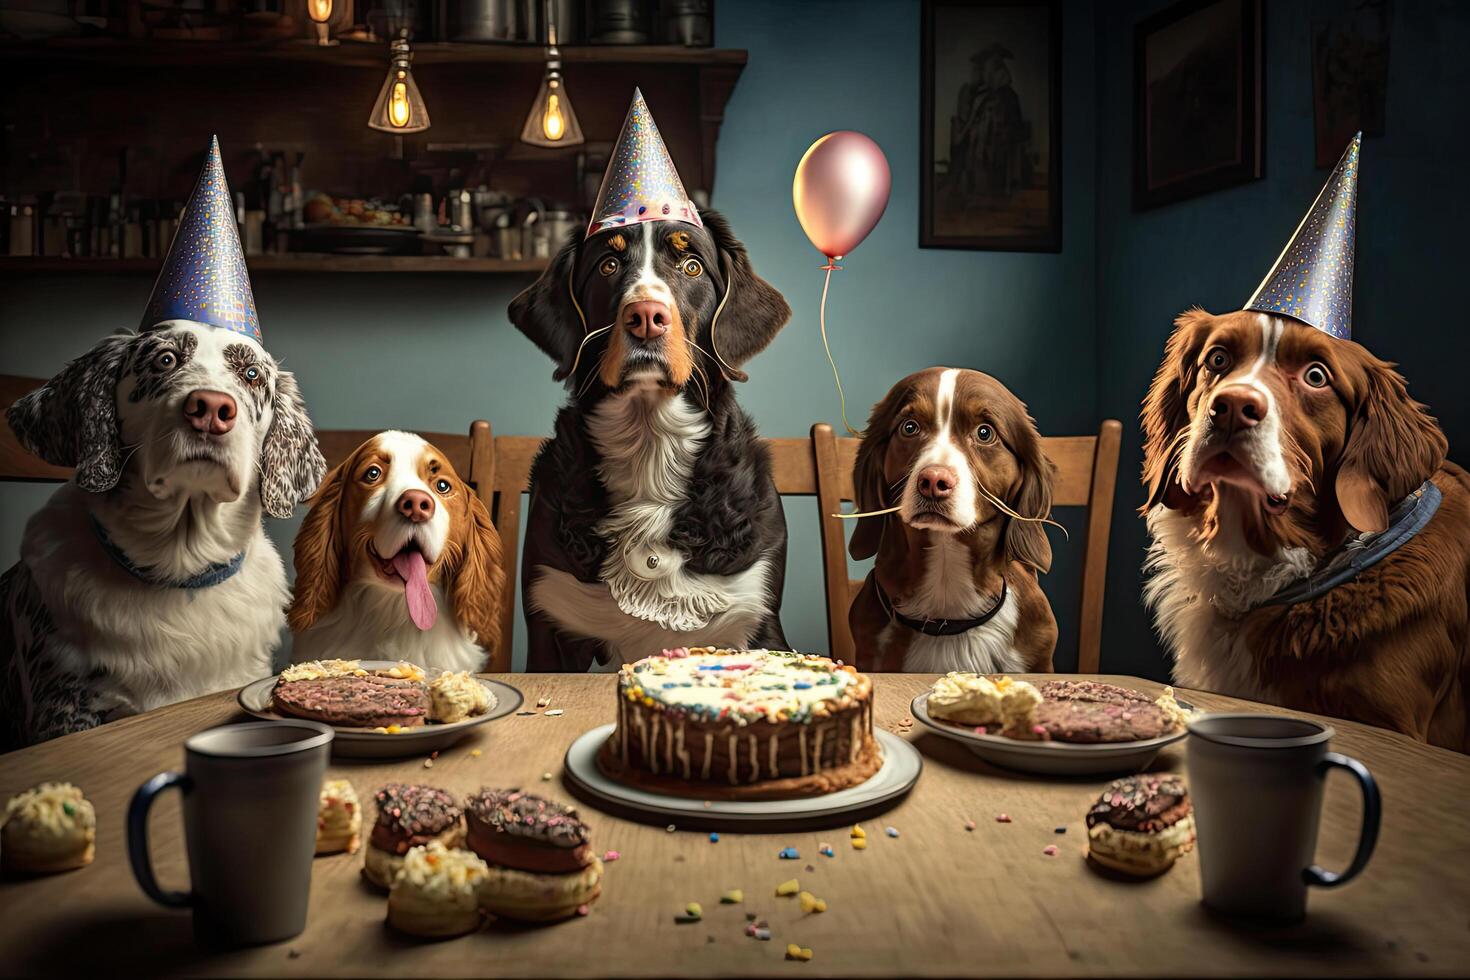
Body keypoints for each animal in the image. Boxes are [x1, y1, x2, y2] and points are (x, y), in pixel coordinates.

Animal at [511, 213, 799, 675]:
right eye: (608, 265)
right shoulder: (550, 621)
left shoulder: (758, 617)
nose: (647, 315)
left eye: (692, 266)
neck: (651, 449)